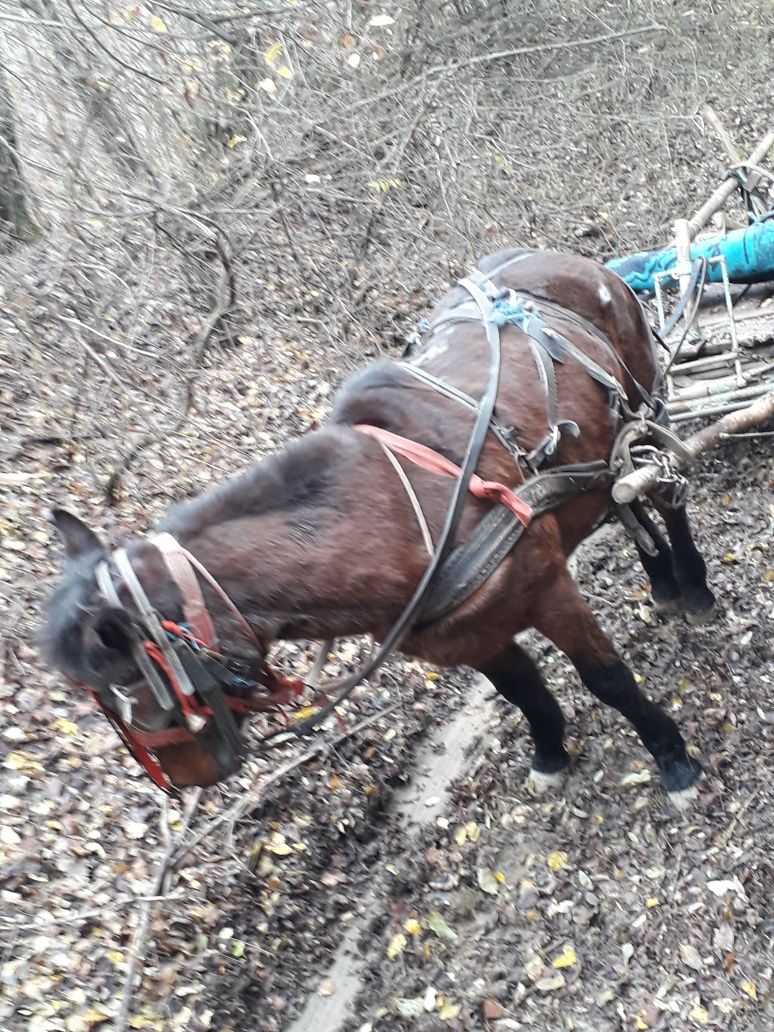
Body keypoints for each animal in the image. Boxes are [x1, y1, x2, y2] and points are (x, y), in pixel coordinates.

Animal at [42, 247, 714, 796]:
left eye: (133, 687)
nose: (184, 778)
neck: (395, 514)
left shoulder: (548, 591)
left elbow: (607, 679)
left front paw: (672, 756)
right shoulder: (471, 636)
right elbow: (523, 693)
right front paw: (550, 753)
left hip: (646, 405)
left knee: (666, 493)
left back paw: (693, 586)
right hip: (599, 451)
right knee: (619, 497)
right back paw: (660, 579)